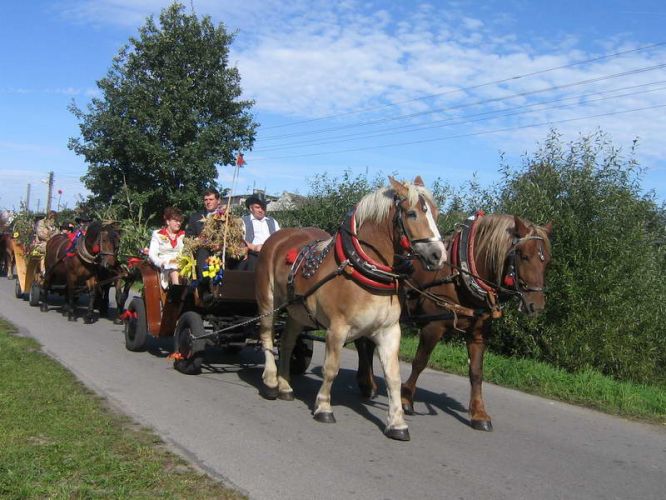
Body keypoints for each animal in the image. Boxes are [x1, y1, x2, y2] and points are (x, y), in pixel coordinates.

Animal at [254, 177, 446, 442]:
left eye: (436, 214)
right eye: (412, 213)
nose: (439, 255)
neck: (362, 268)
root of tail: (279, 237)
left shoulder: (389, 331)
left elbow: (393, 377)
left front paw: (397, 423)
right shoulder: (337, 329)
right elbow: (331, 369)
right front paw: (324, 407)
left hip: (297, 312)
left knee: (287, 342)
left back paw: (285, 386)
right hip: (268, 302)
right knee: (266, 336)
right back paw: (272, 381)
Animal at [356, 213, 552, 432]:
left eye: (547, 260)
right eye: (523, 256)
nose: (536, 305)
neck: (461, 276)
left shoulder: (478, 333)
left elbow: (476, 372)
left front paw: (479, 414)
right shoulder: (433, 327)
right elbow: (420, 362)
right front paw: (406, 399)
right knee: (363, 344)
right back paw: (367, 384)